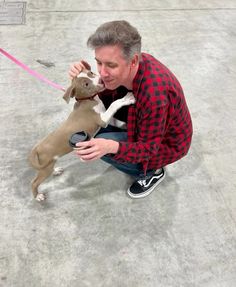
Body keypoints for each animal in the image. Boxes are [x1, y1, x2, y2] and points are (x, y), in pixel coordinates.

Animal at [28, 68, 135, 201]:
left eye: (91, 73)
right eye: (86, 84)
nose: (101, 80)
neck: (89, 100)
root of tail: (37, 148)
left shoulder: (105, 118)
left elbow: (116, 120)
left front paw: (124, 125)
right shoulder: (101, 120)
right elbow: (113, 104)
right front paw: (126, 99)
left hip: (48, 164)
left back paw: (56, 171)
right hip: (44, 167)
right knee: (34, 182)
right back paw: (37, 196)